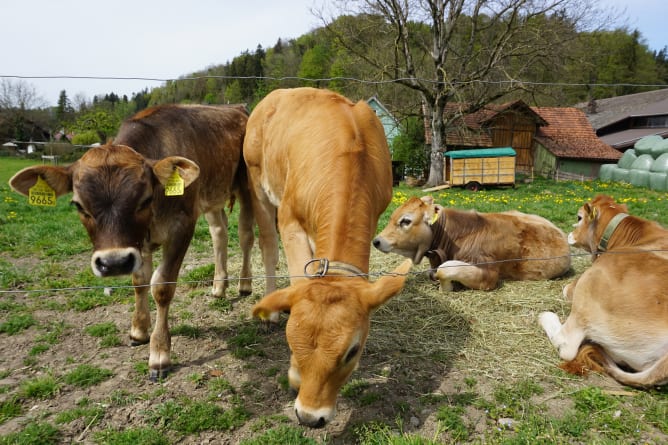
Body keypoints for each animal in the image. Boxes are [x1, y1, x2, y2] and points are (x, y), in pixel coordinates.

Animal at [10, 103, 256, 378]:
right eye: (78, 205)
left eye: (145, 199)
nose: (114, 262)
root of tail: (238, 108)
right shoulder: (138, 245)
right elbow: (140, 282)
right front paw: (138, 330)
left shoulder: (183, 226)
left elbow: (162, 286)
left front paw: (159, 353)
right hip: (211, 196)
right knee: (219, 232)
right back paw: (219, 286)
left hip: (246, 186)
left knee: (245, 234)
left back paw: (244, 284)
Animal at [244, 87, 412, 426]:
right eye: (290, 342)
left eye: (353, 351)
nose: (310, 416)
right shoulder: (290, 217)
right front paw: (294, 374)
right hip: (257, 184)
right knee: (268, 244)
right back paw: (270, 310)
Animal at [540, 193, 668, 386]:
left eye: (579, 217)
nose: (568, 234)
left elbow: (566, 289)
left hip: (589, 286)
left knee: (566, 345)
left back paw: (546, 316)